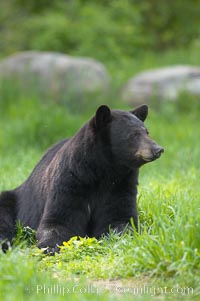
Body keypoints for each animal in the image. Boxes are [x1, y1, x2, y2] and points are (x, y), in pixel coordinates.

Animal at [0, 104, 163, 252]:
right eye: (134, 134)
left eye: (147, 132)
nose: (158, 149)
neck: (104, 171)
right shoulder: (70, 182)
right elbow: (58, 220)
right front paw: (48, 247)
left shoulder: (121, 185)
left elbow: (119, 218)